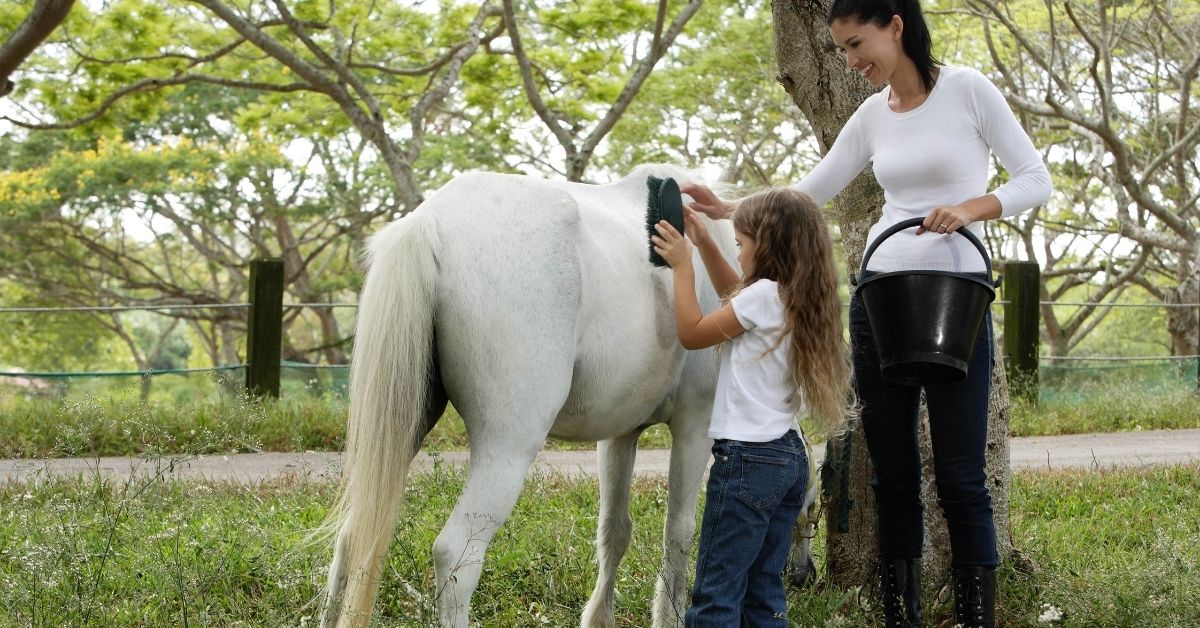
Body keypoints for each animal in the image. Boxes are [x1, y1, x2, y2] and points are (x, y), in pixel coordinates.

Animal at [319, 164, 820, 624]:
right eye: (812, 506)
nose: (804, 576)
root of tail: (432, 220)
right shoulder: (694, 428)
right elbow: (678, 532)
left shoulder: (620, 435)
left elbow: (615, 530)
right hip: (509, 448)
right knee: (456, 553)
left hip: (404, 430)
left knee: (352, 537)